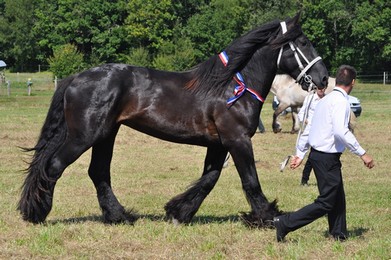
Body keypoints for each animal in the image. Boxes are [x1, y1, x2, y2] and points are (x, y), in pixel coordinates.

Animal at [17, 13, 328, 226]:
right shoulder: (237, 140)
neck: (232, 85)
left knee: (98, 173)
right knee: (54, 165)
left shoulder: (219, 144)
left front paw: (179, 212)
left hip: (106, 134)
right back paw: (37, 213)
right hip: (84, 136)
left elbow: (209, 179)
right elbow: (250, 180)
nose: (323, 77)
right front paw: (267, 216)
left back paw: (119, 216)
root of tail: (74, 78)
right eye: (303, 42)